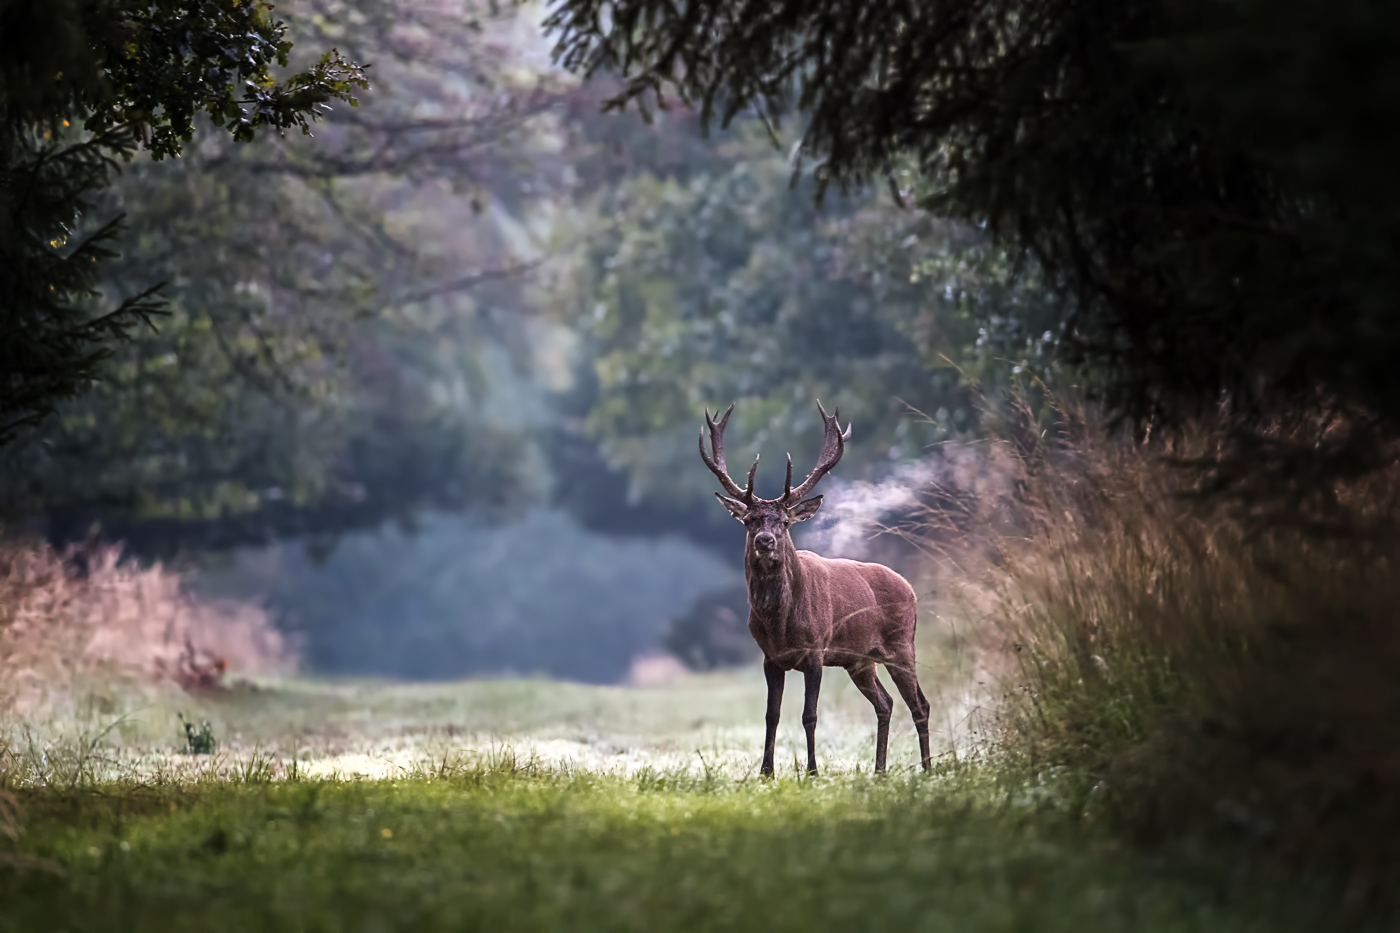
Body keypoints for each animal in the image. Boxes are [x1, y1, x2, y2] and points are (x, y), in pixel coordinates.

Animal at [697, 403, 929, 773]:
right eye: (749, 521)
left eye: (784, 521)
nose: (765, 541)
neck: (779, 623)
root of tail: (909, 586)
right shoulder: (770, 657)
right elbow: (771, 715)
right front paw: (766, 773)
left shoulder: (816, 649)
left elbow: (810, 715)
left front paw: (812, 771)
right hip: (860, 660)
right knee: (887, 702)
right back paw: (879, 771)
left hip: (902, 643)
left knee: (920, 704)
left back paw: (928, 769)